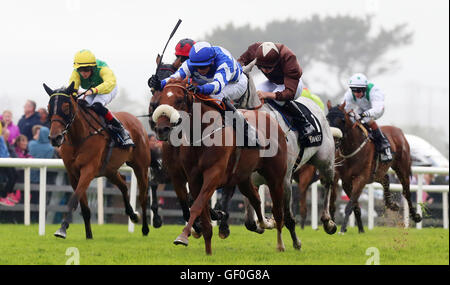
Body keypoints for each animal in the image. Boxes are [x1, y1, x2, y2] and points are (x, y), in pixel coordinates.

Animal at [44, 81, 152, 237]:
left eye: (66, 107)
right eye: (49, 108)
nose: (55, 138)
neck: (79, 137)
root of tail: (136, 120)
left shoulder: (88, 170)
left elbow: (74, 199)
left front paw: (62, 229)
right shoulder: (73, 174)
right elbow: (84, 207)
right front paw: (89, 235)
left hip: (141, 166)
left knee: (143, 195)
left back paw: (145, 228)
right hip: (109, 169)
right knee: (123, 184)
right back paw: (132, 214)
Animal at [151, 77, 288, 253]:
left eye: (179, 99)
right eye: (159, 101)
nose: (161, 129)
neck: (203, 134)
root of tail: (274, 121)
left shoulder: (214, 174)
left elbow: (196, 205)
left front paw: (183, 236)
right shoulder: (190, 178)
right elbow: (199, 211)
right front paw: (207, 250)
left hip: (275, 178)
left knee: (278, 211)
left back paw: (280, 243)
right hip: (242, 177)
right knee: (256, 198)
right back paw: (264, 223)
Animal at [326, 100, 420, 233]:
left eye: (342, 120)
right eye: (327, 118)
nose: (333, 140)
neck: (351, 148)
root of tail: (399, 131)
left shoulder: (360, 178)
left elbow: (349, 205)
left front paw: (342, 229)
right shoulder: (343, 180)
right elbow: (345, 205)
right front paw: (356, 229)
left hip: (402, 168)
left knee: (406, 191)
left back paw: (415, 216)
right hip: (376, 173)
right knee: (385, 179)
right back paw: (391, 204)